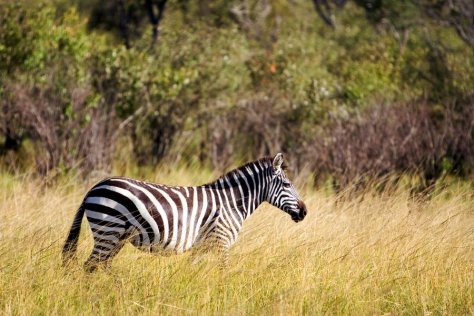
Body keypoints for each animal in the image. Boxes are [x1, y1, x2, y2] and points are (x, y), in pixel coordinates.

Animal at [63, 152, 308, 270]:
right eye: (287, 184)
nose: (305, 212)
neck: (231, 202)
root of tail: (95, 187)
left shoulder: (202, 246)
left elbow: (192, 271)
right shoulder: (222, 241)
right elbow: (224, 272)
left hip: (116, 236)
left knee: (100, 265)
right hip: (109, 229)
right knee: (90, 266)